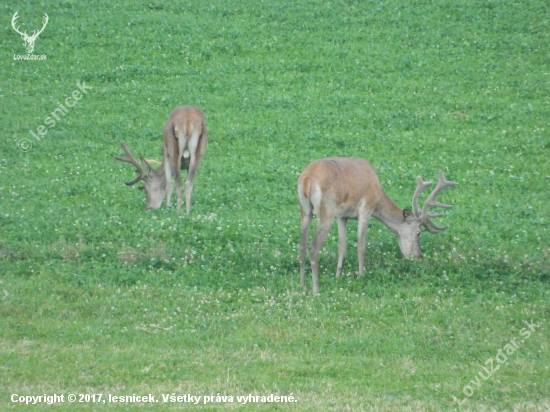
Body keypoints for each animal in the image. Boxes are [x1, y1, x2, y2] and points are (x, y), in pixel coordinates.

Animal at [298, 156, 458, 294]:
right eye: (419, 233)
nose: (418, 256)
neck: (378, 195)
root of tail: (307, 179)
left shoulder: (343, 216)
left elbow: (342, 246)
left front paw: (338, 276)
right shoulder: (366, 208)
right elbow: (361, 246)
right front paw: (361, 275)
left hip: (305, 210)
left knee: (302, 246)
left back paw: (302, 284)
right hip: (327, 210)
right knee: (313, 247)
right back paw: (316, 289)